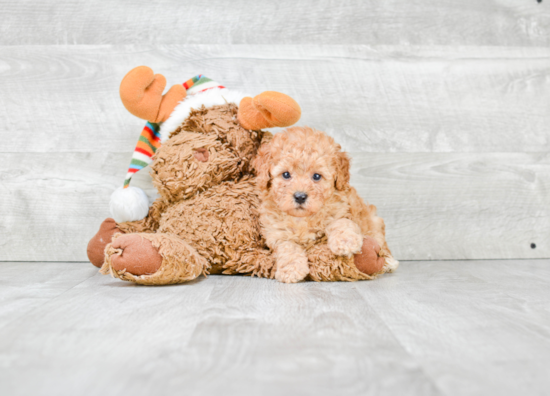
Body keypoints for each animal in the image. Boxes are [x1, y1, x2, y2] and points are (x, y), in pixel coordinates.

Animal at [252, 126, 398, 282]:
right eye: (286, 174)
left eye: (317, 176)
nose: (300, 197)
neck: (302, 218)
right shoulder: (276, 234)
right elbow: (288, 247)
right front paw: (291, 270)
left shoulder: (343, 209)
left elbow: (340, 222)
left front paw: (345, 241)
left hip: (373, 222)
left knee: (381, 242)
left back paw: (389, 262)